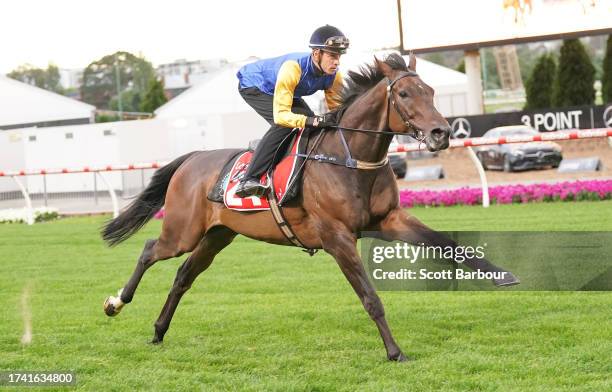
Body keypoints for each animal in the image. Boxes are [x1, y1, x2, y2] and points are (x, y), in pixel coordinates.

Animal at [103, 52, 520, 362]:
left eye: (430, 91)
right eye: (403, 95)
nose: (441, 133)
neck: (351, 159)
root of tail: (191, 159)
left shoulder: (389, 220)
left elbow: (447, 244)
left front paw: (502, 275)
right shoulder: (337, 237)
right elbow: (370, 297)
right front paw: (394, 351)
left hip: (218, 235)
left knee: (183, 276)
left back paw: (158, 331)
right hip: (183, 230)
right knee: (150, 250)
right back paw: (116, 303)